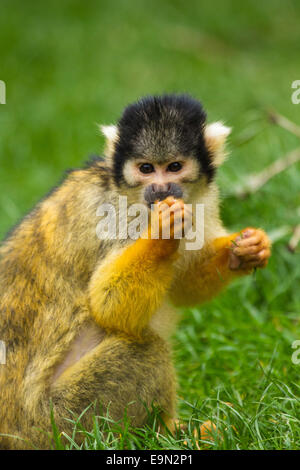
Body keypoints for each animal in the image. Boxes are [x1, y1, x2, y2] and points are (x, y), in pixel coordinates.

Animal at [0, 94, 272, 448]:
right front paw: (162, 233)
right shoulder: (116, 215)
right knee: (145, 348)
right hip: (60, 423)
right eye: (145, 169)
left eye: (174, 167)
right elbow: (108, 304)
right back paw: (167, 433)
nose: (160, 189)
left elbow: (181, 287)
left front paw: (244, 250)